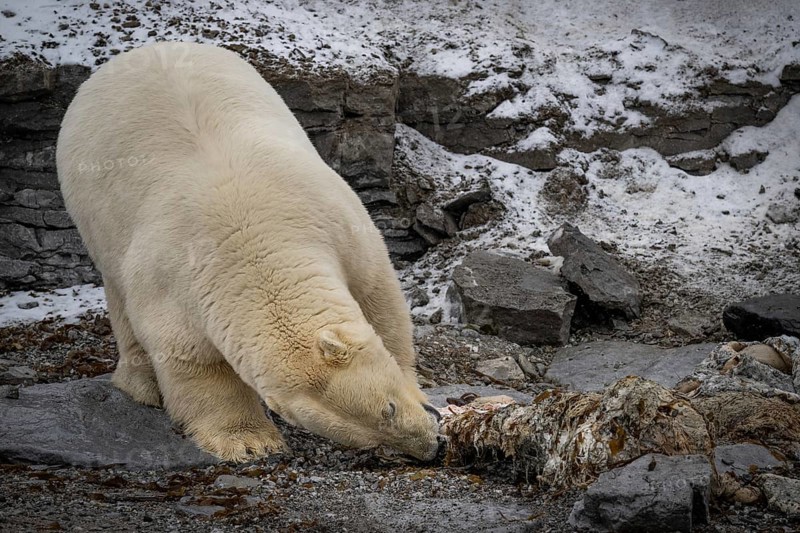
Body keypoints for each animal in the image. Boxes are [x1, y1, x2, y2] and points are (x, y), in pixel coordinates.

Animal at [56, 42, 441, 462]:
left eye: (388, 407)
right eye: (372, 440)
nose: (431, 446)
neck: (255, 245)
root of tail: (138, 51)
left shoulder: (336, 221)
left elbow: (379, 300)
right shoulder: (173, 283)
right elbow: (192, 359)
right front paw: (250, 441)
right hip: (95, 218)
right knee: (118, 294)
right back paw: (142, 385)